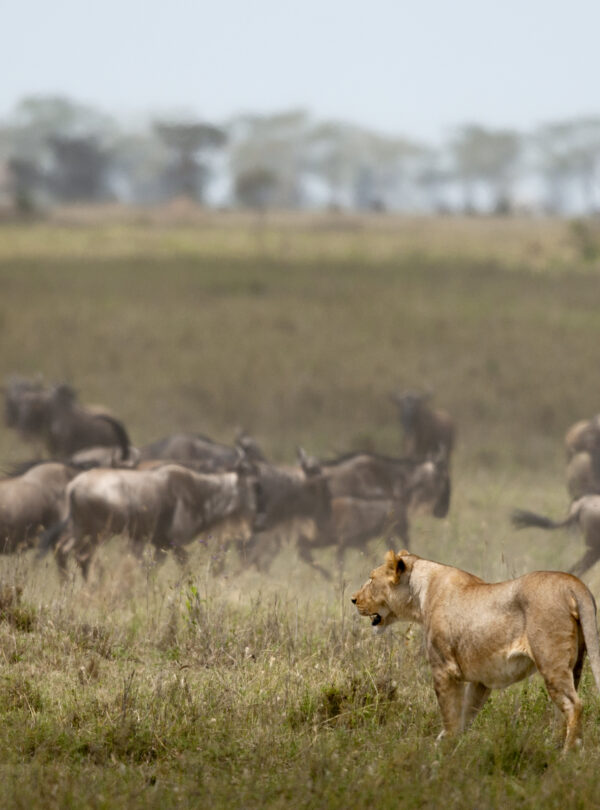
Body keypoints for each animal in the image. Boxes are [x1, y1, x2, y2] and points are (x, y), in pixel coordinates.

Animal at [351, 550, 600, 751]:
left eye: (371, 578)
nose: (353, 599)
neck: (420, 594)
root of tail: (573, 583)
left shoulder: (443, 670)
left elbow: (450, 714)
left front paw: (444, 751)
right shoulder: (482, 679)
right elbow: (466, 714)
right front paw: (453, 744)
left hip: (550, 662)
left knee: (574, 705)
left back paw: (567, 753)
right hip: (575, 665)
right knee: (563, 709)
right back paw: (555, 746)